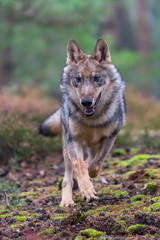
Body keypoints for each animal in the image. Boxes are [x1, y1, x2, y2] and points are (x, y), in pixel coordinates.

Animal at [38, 38, 125, 207]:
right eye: (78, 79)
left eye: (96, 78)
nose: (85, 102)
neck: (92, 120)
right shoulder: (73, 140)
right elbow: (79, 165)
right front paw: (87, 190)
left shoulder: (110, 137)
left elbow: (95, 165)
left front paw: (89, 182)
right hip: (66, 148)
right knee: (67, 178)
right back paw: (67, 201)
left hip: (92, 146)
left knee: (90, 160)